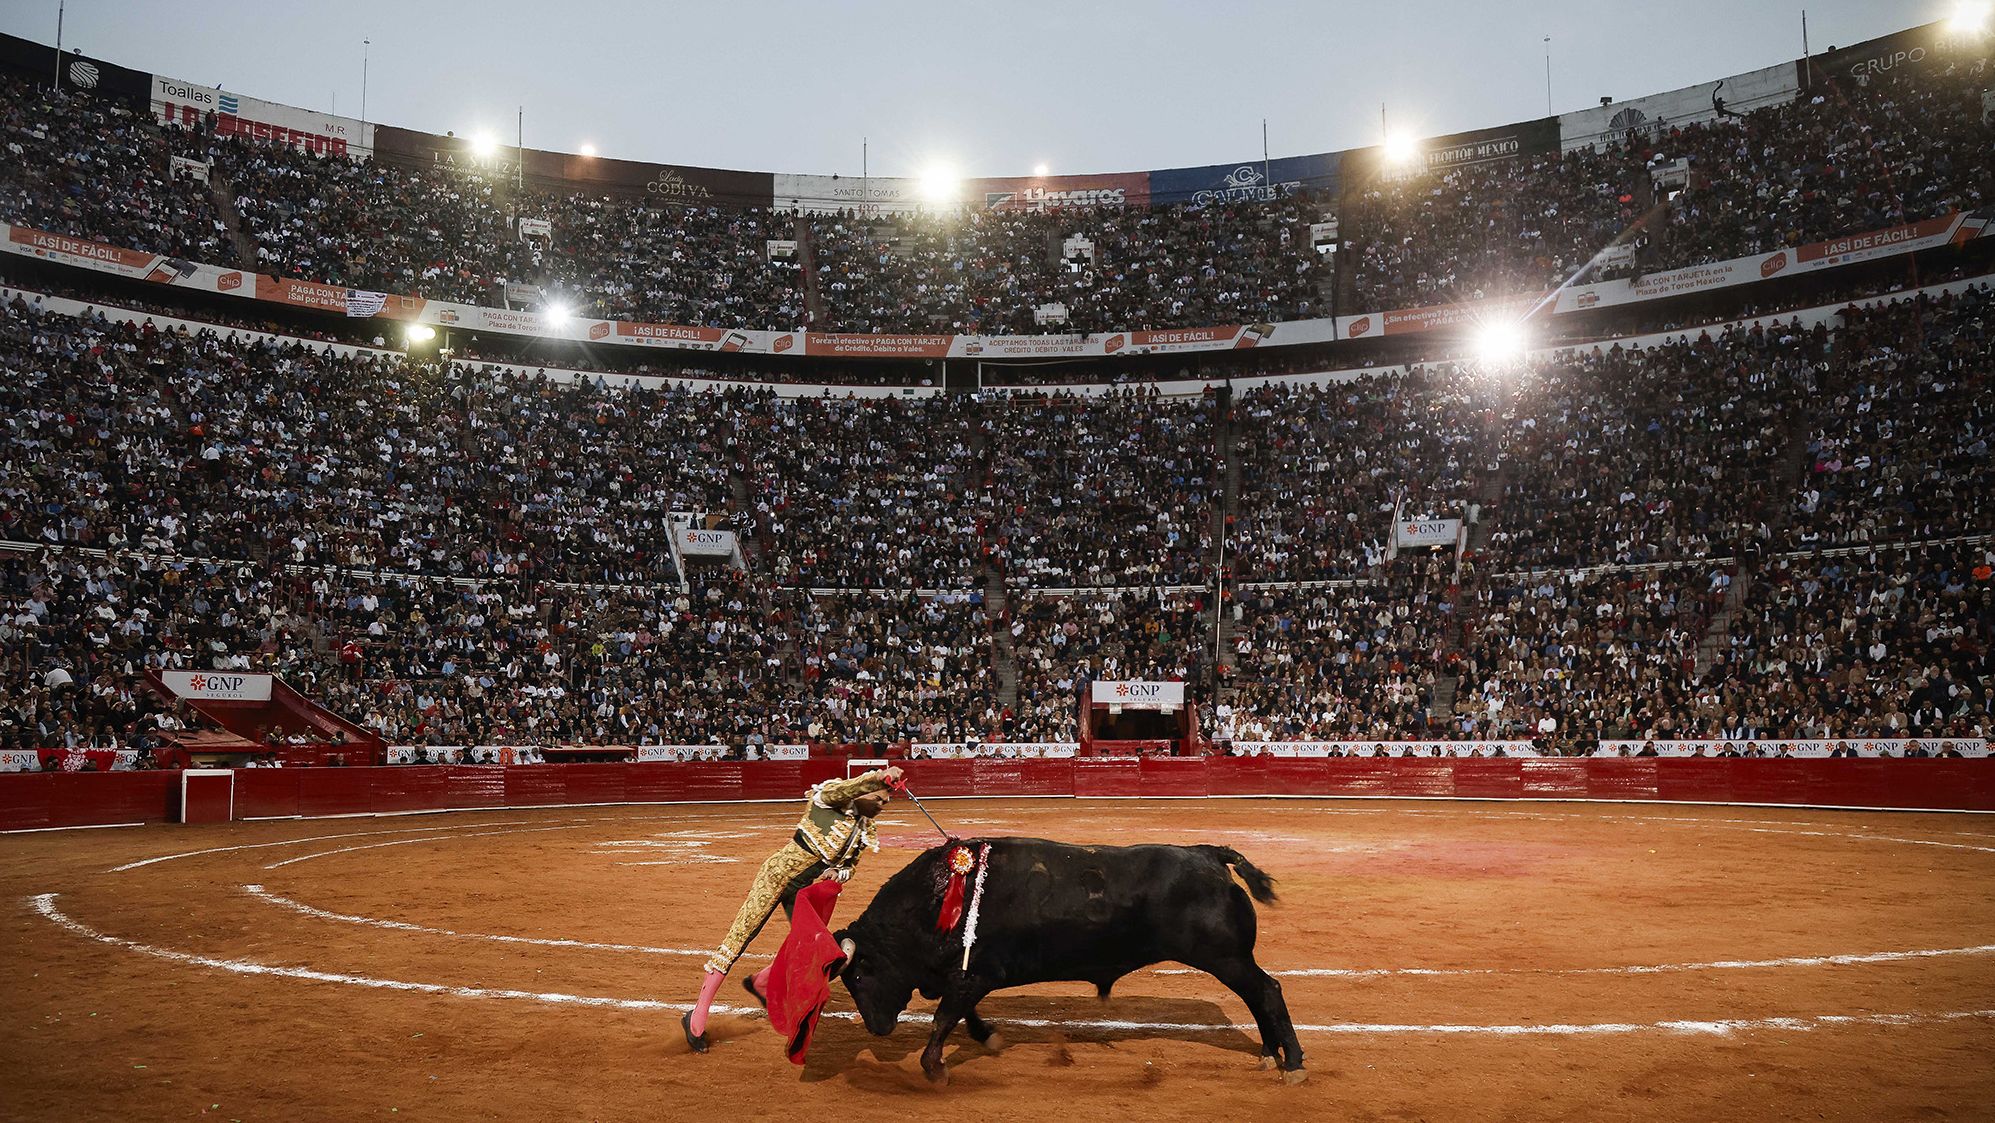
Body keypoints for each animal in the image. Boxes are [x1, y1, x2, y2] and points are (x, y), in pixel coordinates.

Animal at [829, 837, 1308, 1085]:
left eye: (860, 975)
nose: (878, 1027)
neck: (937, 899)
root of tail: (1208, 854)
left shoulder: (973, 973)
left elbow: (945, 1017)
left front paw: (934, 1070)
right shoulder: (969, 976)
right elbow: (964, 1014)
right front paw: (989, 1038)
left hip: (1226, 957)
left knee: (1267, 991)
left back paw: (1294, 1065)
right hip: (1230, 959)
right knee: (1258, 997)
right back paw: (1269, 1056)